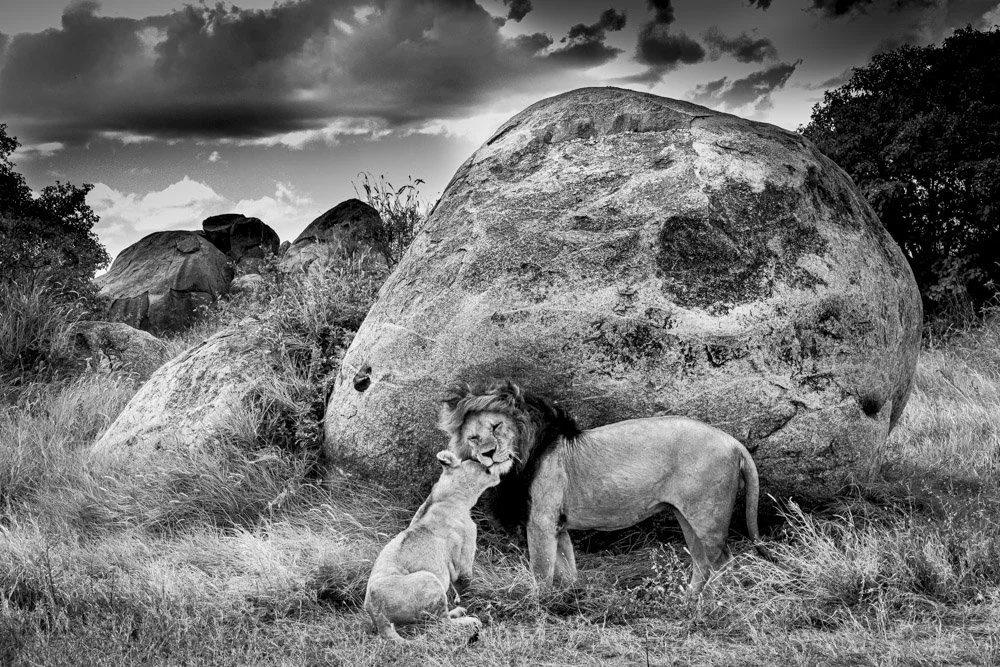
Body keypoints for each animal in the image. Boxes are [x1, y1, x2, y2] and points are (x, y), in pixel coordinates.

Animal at [364, 450, 500, 641]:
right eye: (484, 468)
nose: (497, 473)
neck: (445, 497)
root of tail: (377, 614)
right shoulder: (462, 561)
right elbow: (466, 586)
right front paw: (478, 601)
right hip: (429, 579)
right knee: (442, 624)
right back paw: (467, 618)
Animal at [440, 380, 768, 593]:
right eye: (472, 438)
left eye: (496, 427)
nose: (488, 453)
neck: (523, 456)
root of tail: (733, 442)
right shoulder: (557, 525)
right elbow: (567, 567)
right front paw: (570, 599)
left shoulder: (541, 522)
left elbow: (541, 572)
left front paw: (537, 604)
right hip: (687, 516)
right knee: (703, 562)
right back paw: (689, 602)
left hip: (707, 516)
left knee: (722, 561)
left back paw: (710, 606)